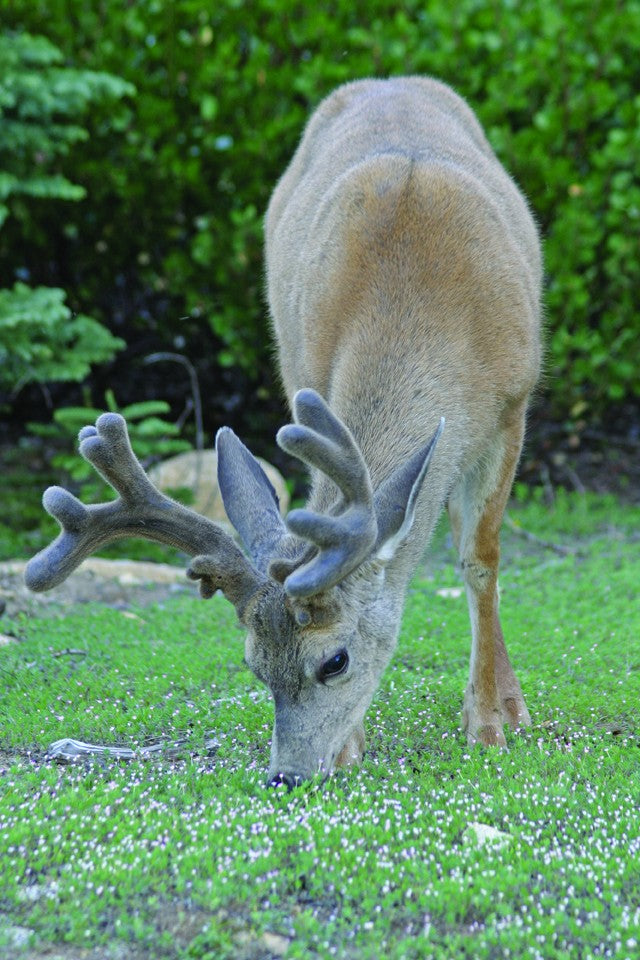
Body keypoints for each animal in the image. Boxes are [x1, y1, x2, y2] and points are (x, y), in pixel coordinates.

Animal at [25, 76, 542, 789]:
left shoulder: (512, 404)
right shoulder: (310, 382)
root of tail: (386, 81)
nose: (287, 775)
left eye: (335, 660)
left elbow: (480, 559)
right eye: (253, 665)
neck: (428, 305)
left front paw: (489, 725)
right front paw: (353, 747)